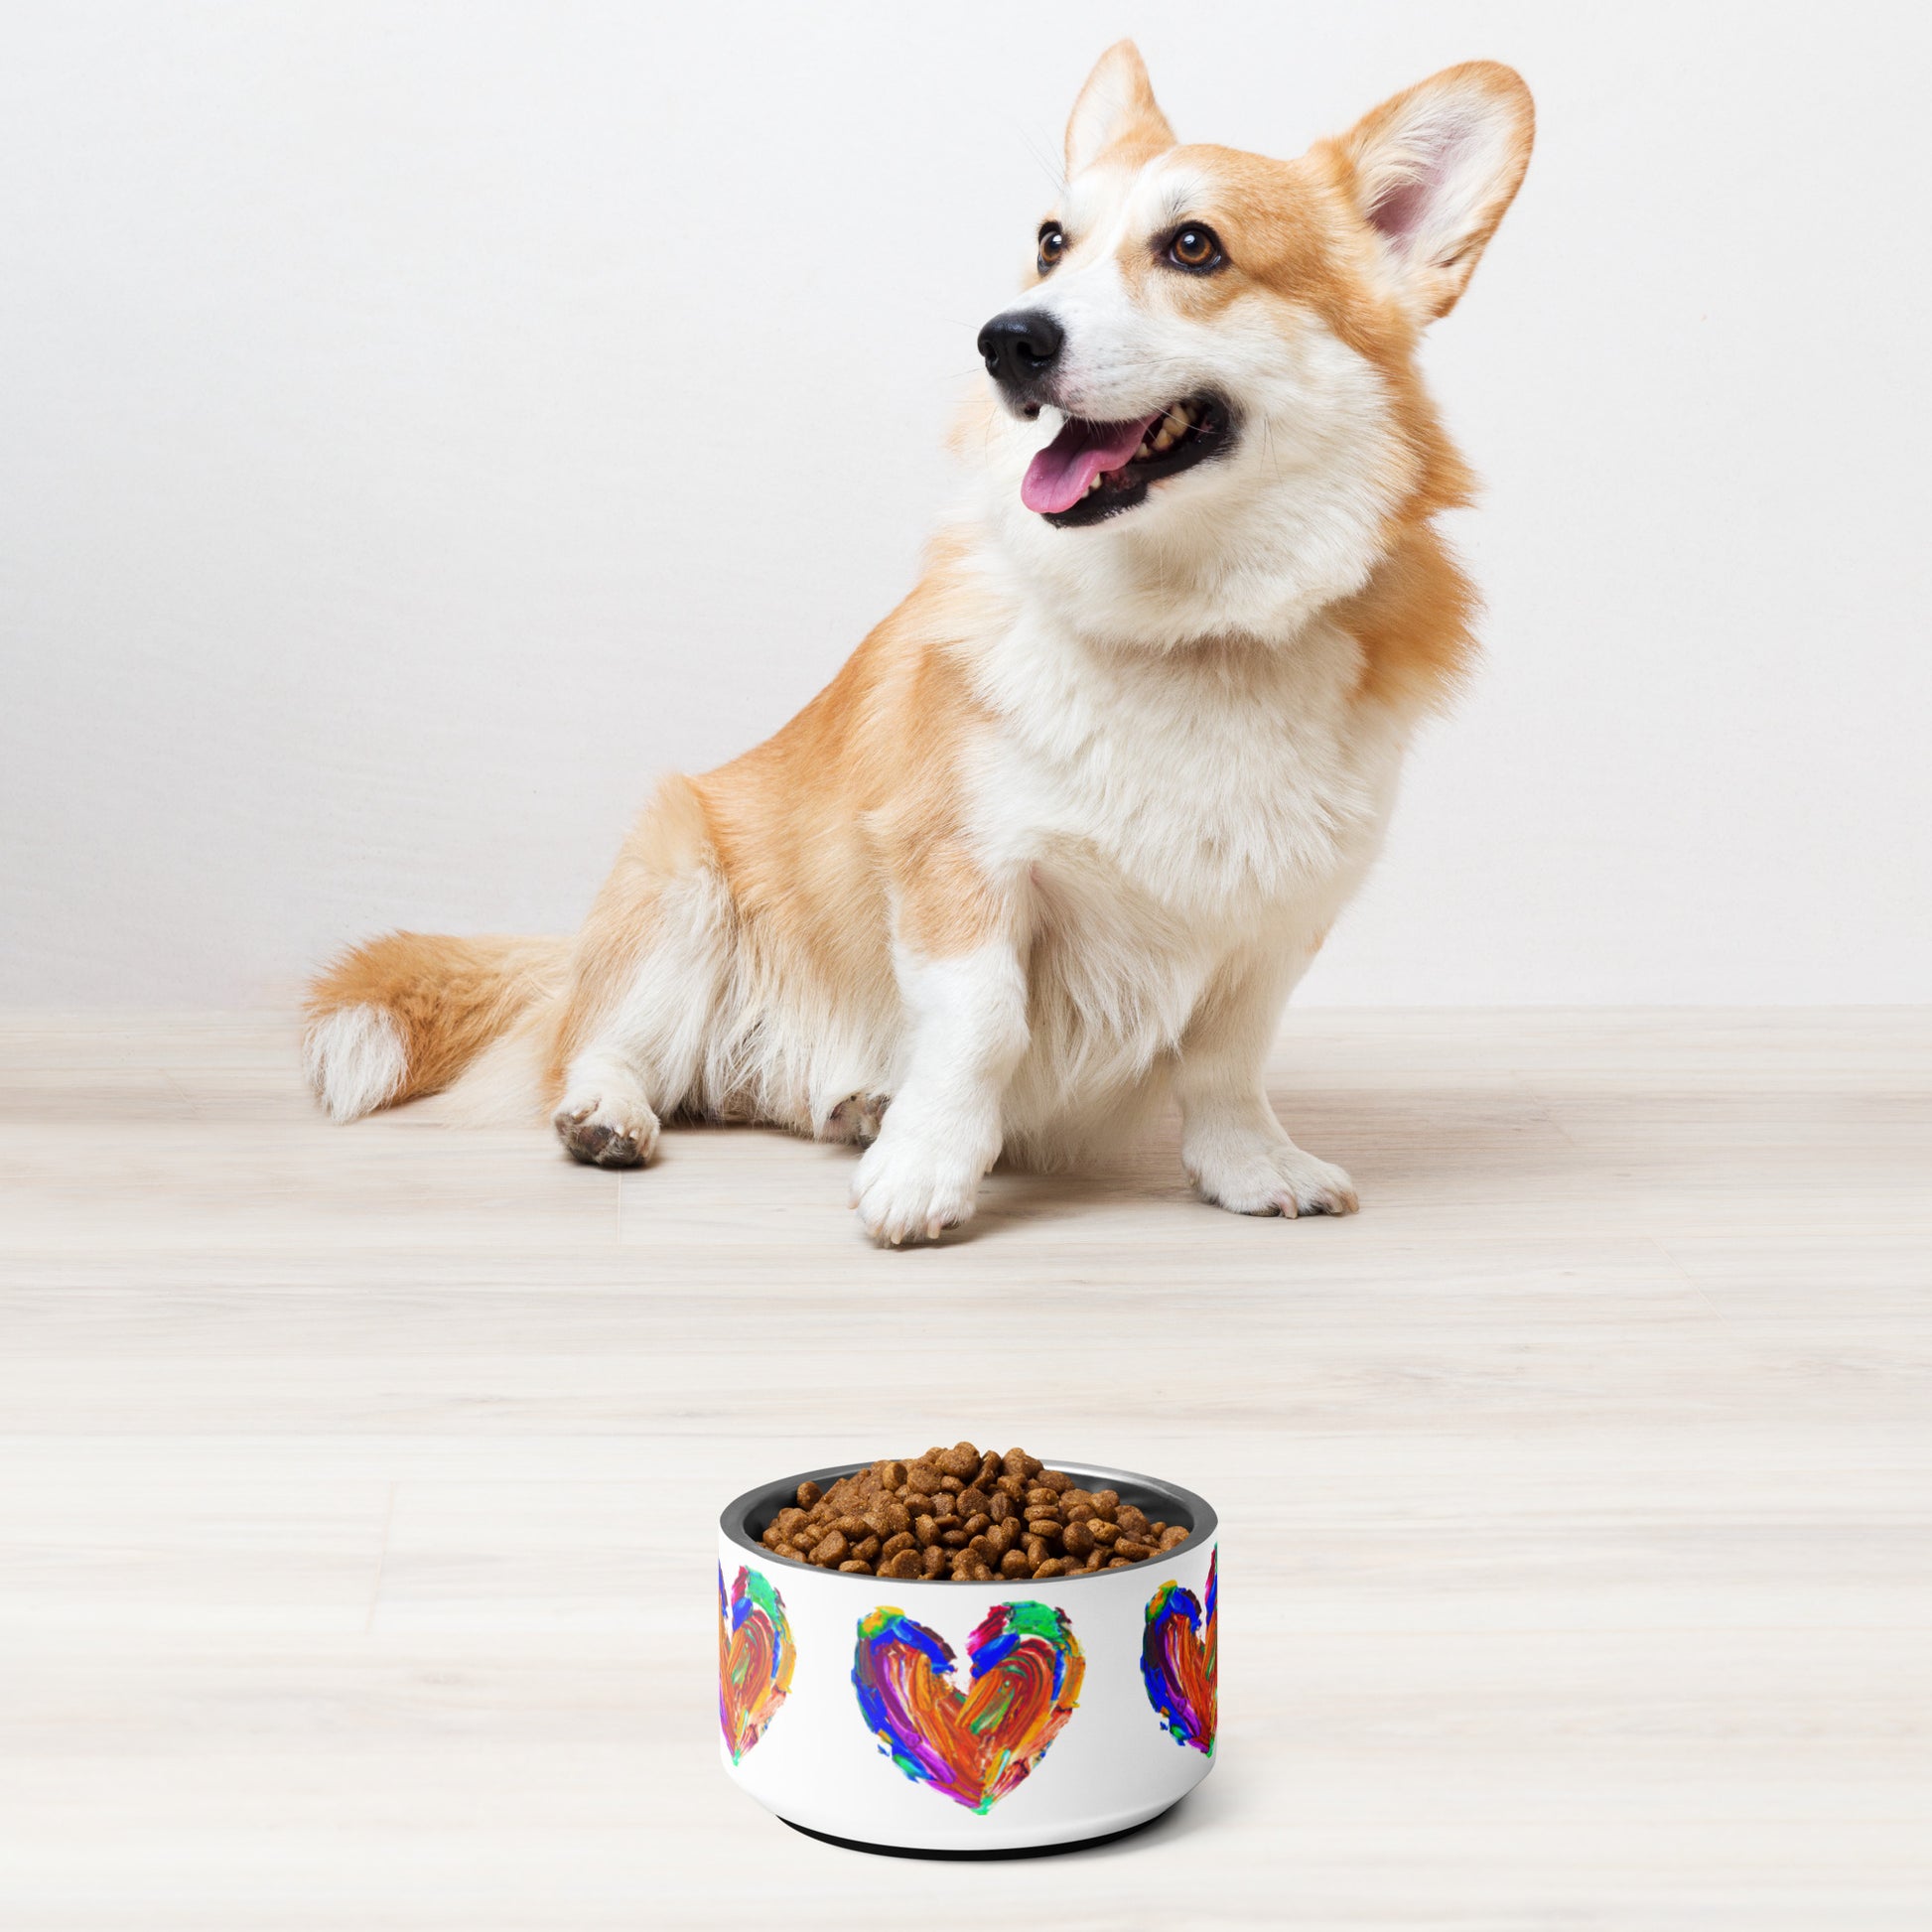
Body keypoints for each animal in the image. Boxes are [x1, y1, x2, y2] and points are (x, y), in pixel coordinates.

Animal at [309, 49, 1530, 1252]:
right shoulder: (960, 864)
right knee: (604, 1044)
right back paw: (616, 1113)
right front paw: (928, 1169)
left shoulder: (1272, 923)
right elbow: (983, 1023)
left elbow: (1226, 1064)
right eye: (1050, 243)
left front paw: (1251, 1167)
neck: (1182, 627)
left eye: (1195, 247)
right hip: (682, 888)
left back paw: (855, 1103)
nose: (1008, 338)